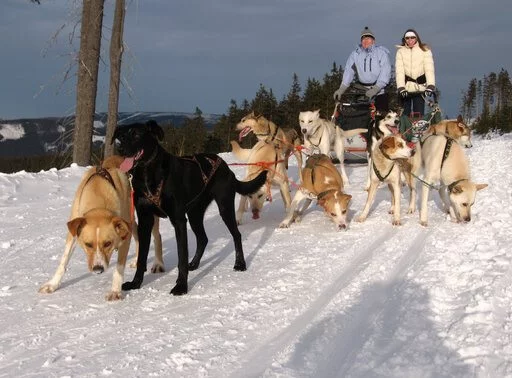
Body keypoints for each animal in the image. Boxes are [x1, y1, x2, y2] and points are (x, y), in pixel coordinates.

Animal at [39, 157, 135, 302]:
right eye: (88, 244)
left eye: (108, 243)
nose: (98, 269)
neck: (99, 192)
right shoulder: (73, 233)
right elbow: (64, 260)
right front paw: (53, 284)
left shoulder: (125, 233)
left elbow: (119, 267)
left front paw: (115, 290)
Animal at [112, 121, 268, 296]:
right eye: (121, 136)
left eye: (136, 134)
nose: (120, 149)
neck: (147, 173)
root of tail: (224, 165)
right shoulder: (145, 220)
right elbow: (141, 258)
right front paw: (136, 283)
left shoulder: (179, 221)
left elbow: (181, 256)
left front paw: (181, 286)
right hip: (194, 215)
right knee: (203, 238)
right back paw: (193, 264)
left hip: (224, 208)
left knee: (236, 235)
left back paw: (240, 263)